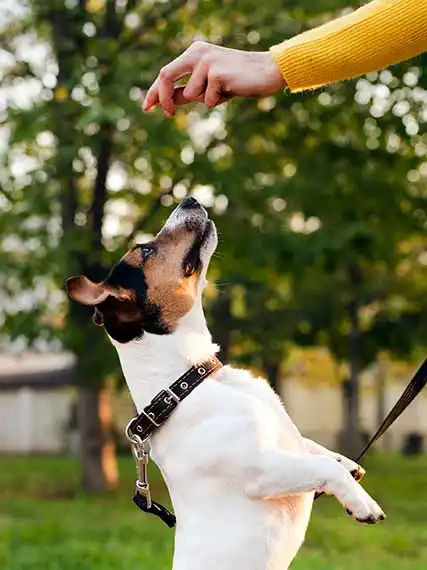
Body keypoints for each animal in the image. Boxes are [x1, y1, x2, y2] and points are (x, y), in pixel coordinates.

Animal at [66, 196, 384, 568]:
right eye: (145, 250)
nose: (189, 198)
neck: (191, 382)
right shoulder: (263, 470)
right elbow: (320, 465)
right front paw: (361, 501)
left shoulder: (285, 442)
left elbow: (311, 447)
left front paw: (346, 462)